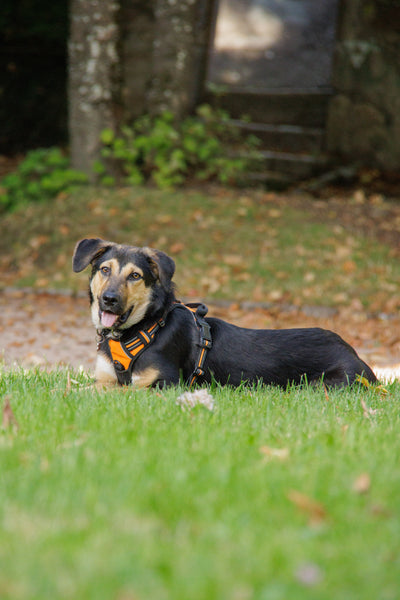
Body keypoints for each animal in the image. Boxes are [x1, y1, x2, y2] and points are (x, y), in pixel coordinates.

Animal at [73, 238, 376, 390]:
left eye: (135, 276)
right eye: (105, 269)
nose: (109, 300)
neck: (144, 327)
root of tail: (352, 351)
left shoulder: (163, 384)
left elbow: (118, 391)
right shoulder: (104, 378)